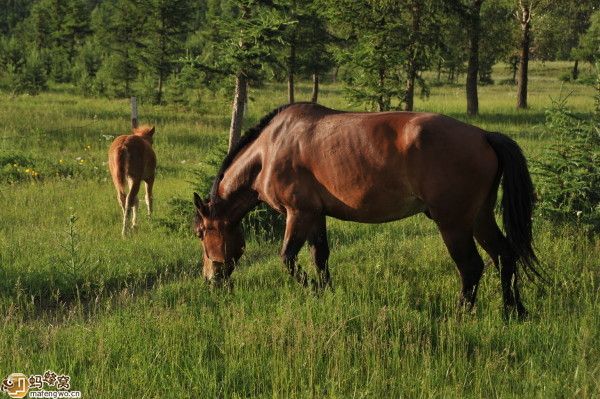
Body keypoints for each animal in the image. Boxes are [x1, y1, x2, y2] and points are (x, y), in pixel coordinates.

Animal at [195, 103, 540, 318]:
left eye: (200, 233)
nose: (210, 279)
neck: (270, 150)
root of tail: (483, 135)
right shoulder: (316, 216)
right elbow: (320, 257)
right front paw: (326, 292)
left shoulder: (298, 213)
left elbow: (288, 259)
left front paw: (313, 290)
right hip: (480, 217)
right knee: (505, 255)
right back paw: (514, 311)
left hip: (454, 224)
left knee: (471, 267)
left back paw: (461, 314)